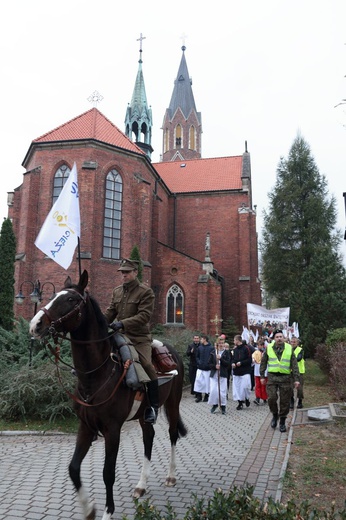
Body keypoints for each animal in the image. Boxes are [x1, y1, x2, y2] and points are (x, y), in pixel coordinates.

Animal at [29, 272, 187, 520]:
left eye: (71, 300)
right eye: (53, 295)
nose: (35, 324)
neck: (97, 373)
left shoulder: (112, 429)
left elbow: (108, 473)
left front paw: (107, 511)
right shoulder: (85, 426)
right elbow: (73, 468)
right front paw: (89, 509)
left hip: (173, 403)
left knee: (172, 435)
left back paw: (170, 476)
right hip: (144, 415)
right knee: (148, 438)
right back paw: (141, 485)